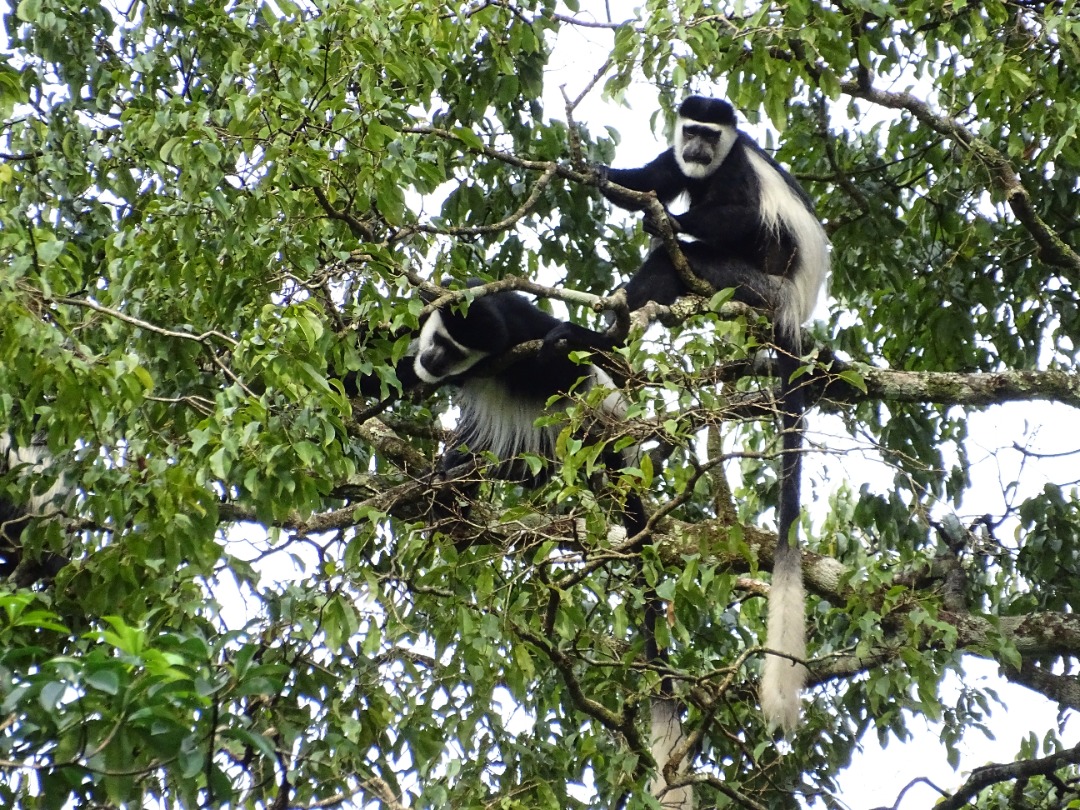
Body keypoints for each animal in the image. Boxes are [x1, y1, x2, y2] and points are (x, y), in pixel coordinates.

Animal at [544, 95, 829, 734]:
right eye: (690, 131)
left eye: (710, 134)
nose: (697, 148)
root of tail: (791, 307)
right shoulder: (679, 165)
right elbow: (650, 180)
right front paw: (597, 172)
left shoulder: (738, 173)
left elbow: (741, 217)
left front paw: (671, 222)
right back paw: (605, 343)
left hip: (749, 287)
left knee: (681, 263)